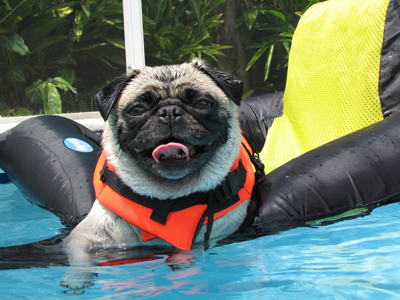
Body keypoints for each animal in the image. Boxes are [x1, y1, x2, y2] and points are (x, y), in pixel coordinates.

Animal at [61, 58, 252, 290]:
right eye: (136, 110)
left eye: (203, 104)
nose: (169, 111)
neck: (167, 199)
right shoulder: (87, 235)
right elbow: (79, 254)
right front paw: (76, 278)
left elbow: (190, 251)